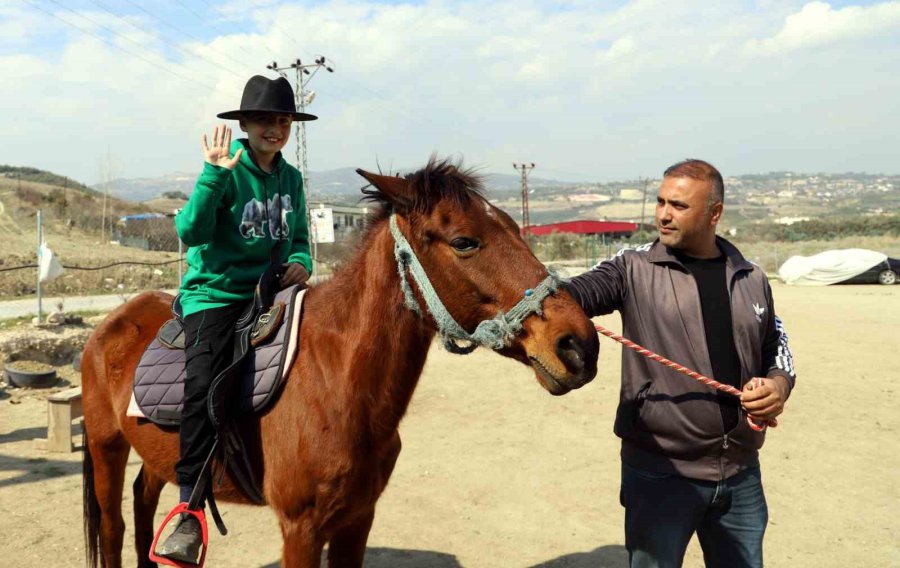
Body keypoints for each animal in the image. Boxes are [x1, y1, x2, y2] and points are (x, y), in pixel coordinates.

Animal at [79, 159, 596, 568]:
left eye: (513, 225)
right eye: (465, 241)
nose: (579, 345)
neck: (336, 380)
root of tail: (110, 325)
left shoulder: (357, 518)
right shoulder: (301, 529)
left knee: (144, 505)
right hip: (107, 447)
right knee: (114, 527)